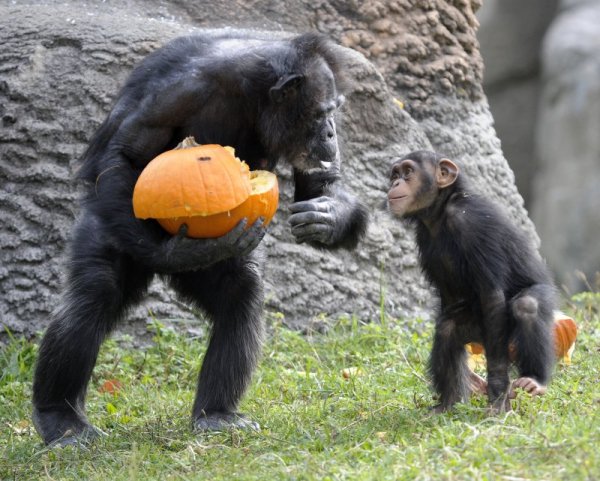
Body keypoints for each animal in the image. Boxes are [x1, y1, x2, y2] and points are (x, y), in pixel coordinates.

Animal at [34, 31, 370, 444]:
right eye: (322, 113)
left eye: (333, 111)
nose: (331, 130)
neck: (254, 98)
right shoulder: (178, 92)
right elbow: (124, 154)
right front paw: (177, 252)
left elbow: (319, 181)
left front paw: (327, 216)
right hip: (111, 224)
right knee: (93, 294)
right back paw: (61, 419)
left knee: (239, 292)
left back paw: (217, 414)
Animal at [386, 151, 556, 412]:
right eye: (395, 174)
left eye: (408, 172)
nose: (395, 183)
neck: (441, 211)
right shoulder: (424, 239)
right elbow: (448, 301)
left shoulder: (472, 225)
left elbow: (492, 295)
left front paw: (497, 391)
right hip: (477, 330)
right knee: (447, 328)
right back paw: (448, 403)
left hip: (506, 332)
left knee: (528, 305)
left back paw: (534, 380)